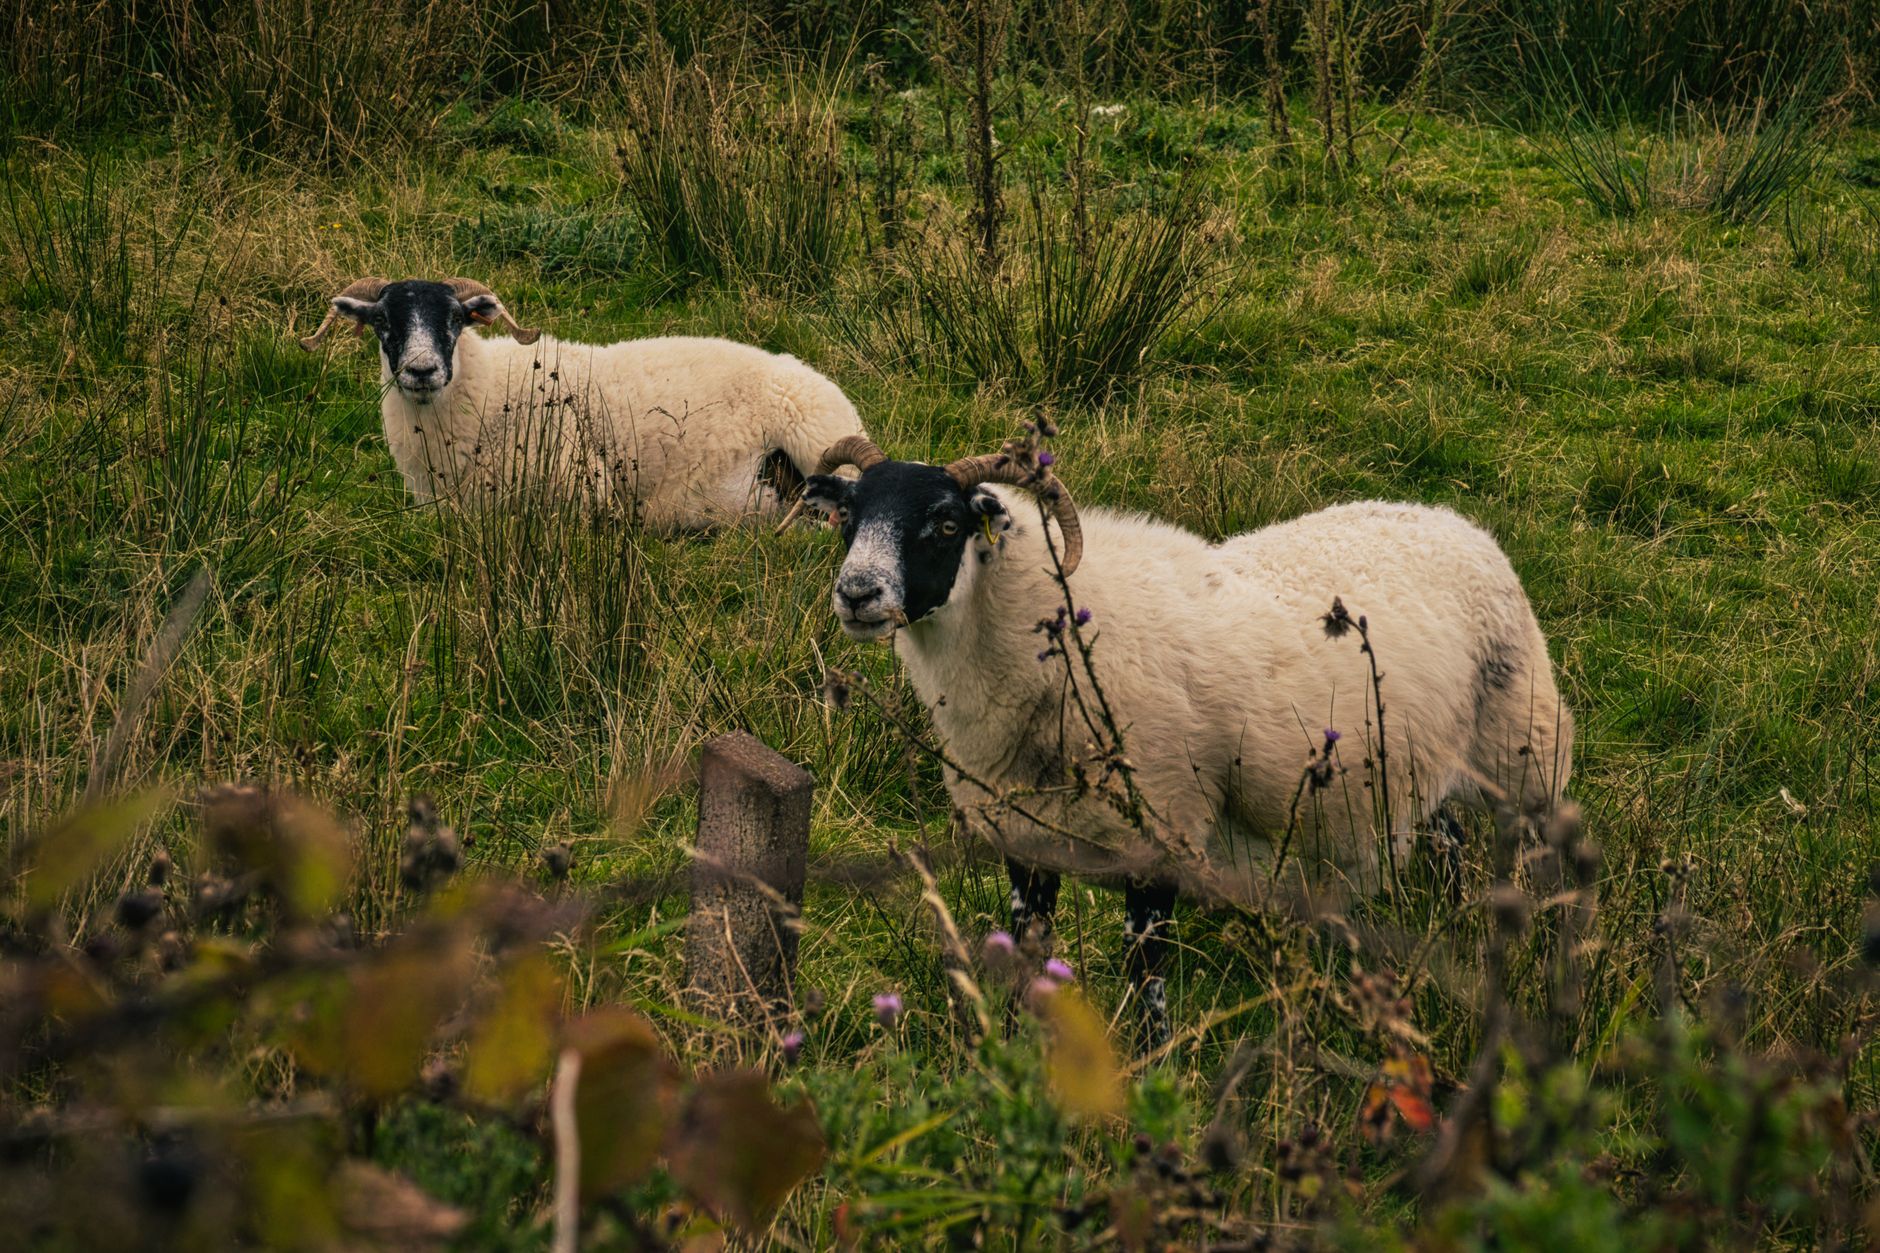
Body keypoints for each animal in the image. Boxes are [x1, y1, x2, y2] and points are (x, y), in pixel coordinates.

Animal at [797, 434, 1573, 1046]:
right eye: (850, 519)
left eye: (947, 522)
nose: (858, 594)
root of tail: (1454, 523)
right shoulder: (1025, 838)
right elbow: (1024, 956)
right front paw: (1015, 1056)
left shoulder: (1162, 831)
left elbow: (1148, 979)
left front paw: (1150, 1072)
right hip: (1420, 761)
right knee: (1449, 840)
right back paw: (1452, 927)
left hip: (1528, 752)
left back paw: (1555, 968)